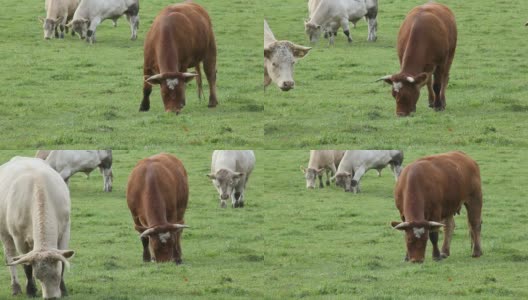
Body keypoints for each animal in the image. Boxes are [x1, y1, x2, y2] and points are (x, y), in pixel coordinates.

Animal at [0, 157, 75, 298]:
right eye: (38, 277)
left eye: (56, 275)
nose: (51, 298)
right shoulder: (19, 238)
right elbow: (26, 265)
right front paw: (30, 290)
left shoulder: (65, 230)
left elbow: (62, 261)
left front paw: (63, 290)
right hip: (5, 233)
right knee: (10, 256)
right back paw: (16, 287)